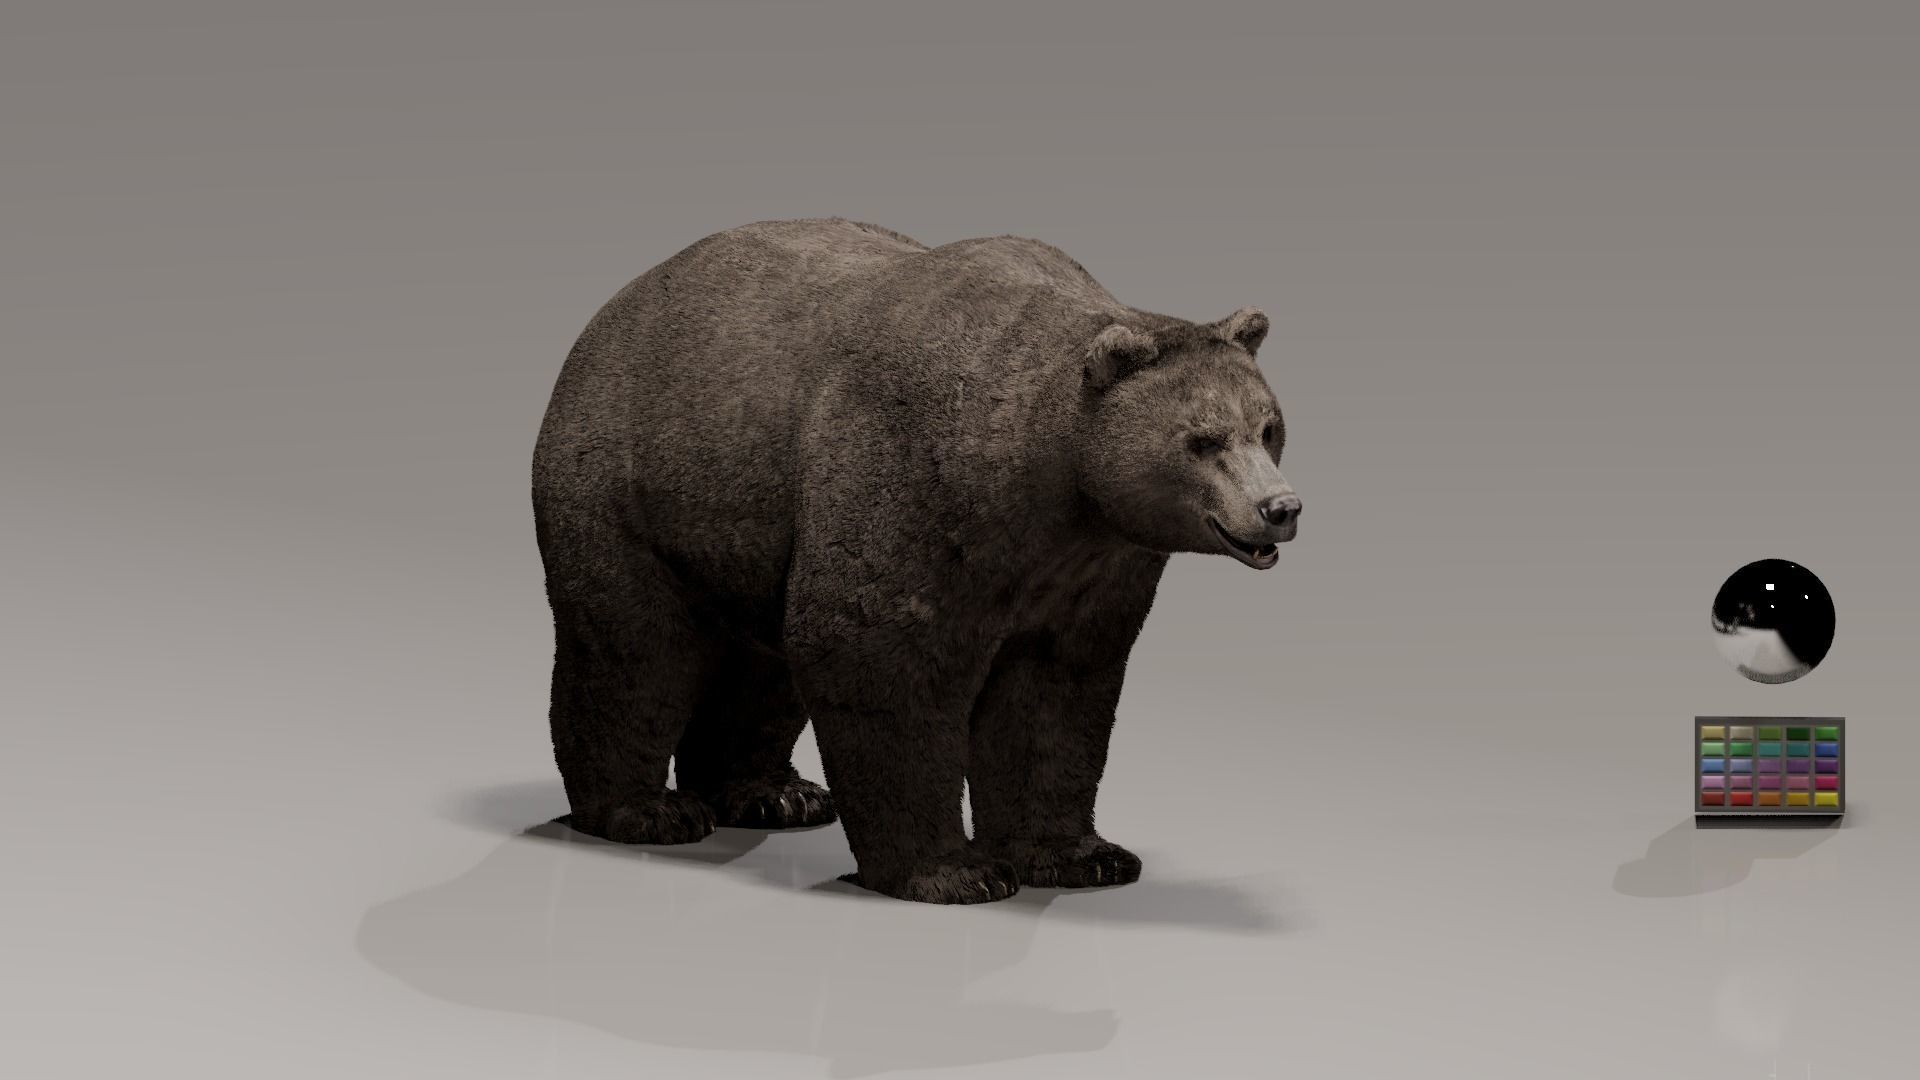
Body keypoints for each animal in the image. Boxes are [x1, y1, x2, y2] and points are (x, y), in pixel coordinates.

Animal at [532, 217, 1300, 904]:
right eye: (1203, 439)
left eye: (1268, 426)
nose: (1280, 508)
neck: (1050, 485)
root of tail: (610, 312)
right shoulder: (911, 484)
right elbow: (879, 655)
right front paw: (954, 871)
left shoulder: (1095, 567)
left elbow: (1056, 692)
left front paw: (1083, 855)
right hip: (632, 487)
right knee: (634, 650)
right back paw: (646, 810)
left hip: (756, 530)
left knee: (762, 665)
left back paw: (773, 795)